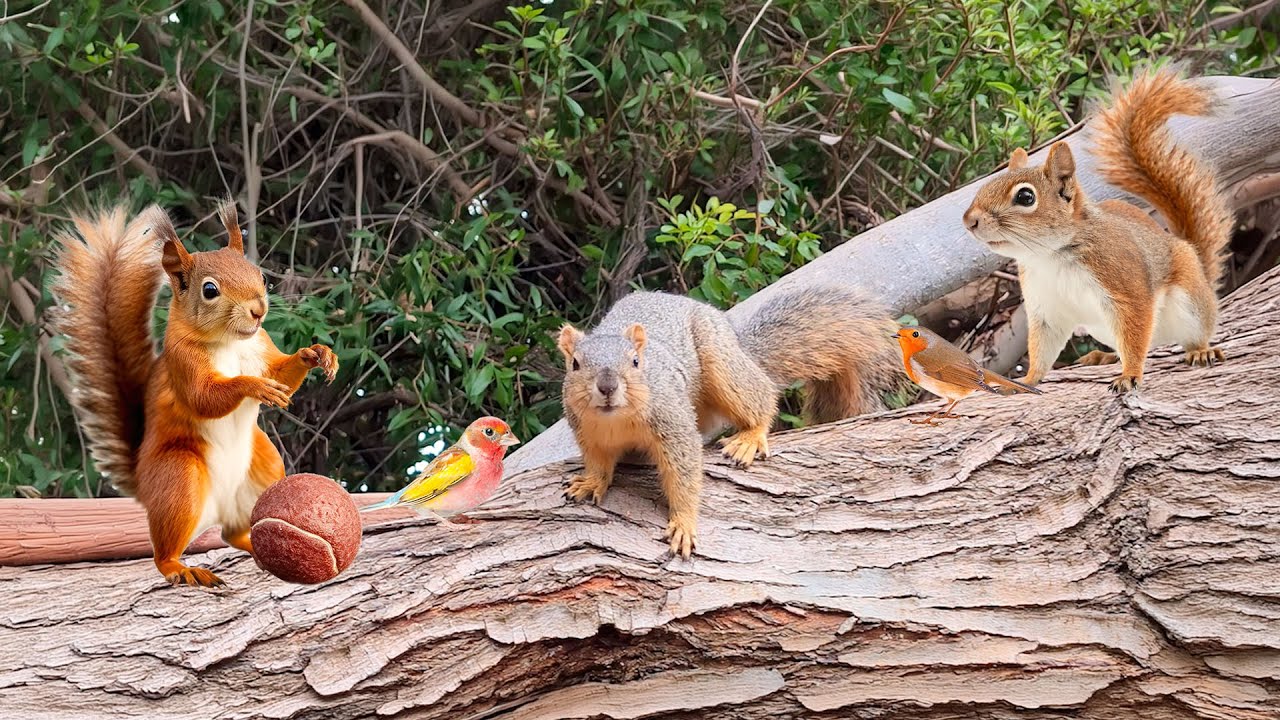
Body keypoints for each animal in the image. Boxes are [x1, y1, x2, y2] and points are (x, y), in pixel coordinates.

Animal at [52, 201, 338, 587]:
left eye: (260, 276)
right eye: (210, 290)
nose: (258, 310)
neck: (230, 342)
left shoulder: (261, 348)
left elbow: (282, 373)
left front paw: (317, 354)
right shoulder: (183, 364)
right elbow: (205, 398)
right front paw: (253, 386)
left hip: (265, 467)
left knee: (232, 533)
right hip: (180, 478)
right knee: (166, 551)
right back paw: (181, 568)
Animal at [557, 286, 898, 558]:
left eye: (636, 362)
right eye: (575, 364)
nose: (607, 387)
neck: (615, 420)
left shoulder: (673, 421)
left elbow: (684, 473)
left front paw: (684, 523)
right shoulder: (587, 432)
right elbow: (598, 463)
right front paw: (591, 482)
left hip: (718, 360)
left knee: (761, 397)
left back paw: (750, 436)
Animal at [962, 67, 1234, 393]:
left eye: (1026, 197)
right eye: (985, 185)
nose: (969, 220)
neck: (1050, 256)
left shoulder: (1125, 284)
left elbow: (1135, 328)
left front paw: (1130, 374)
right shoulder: (1045, 308)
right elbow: (1041, 351)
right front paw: (1024, 381)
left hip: (1189, 302)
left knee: (1189, 334)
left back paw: (1201, 350)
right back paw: (1102, 356)